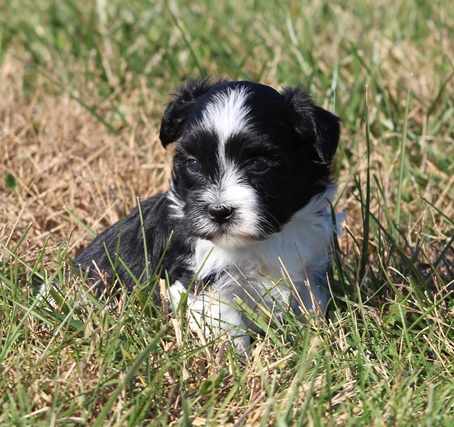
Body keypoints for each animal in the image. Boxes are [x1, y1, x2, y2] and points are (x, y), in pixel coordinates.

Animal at [73, 78, 343, 351]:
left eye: (258, 164)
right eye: (193, 164)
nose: (219, 212)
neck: (260, 241)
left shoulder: (309, 267)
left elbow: (311, 307)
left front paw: (315, 341)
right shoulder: (203, 279)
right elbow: (228, 325)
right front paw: (235, 358)